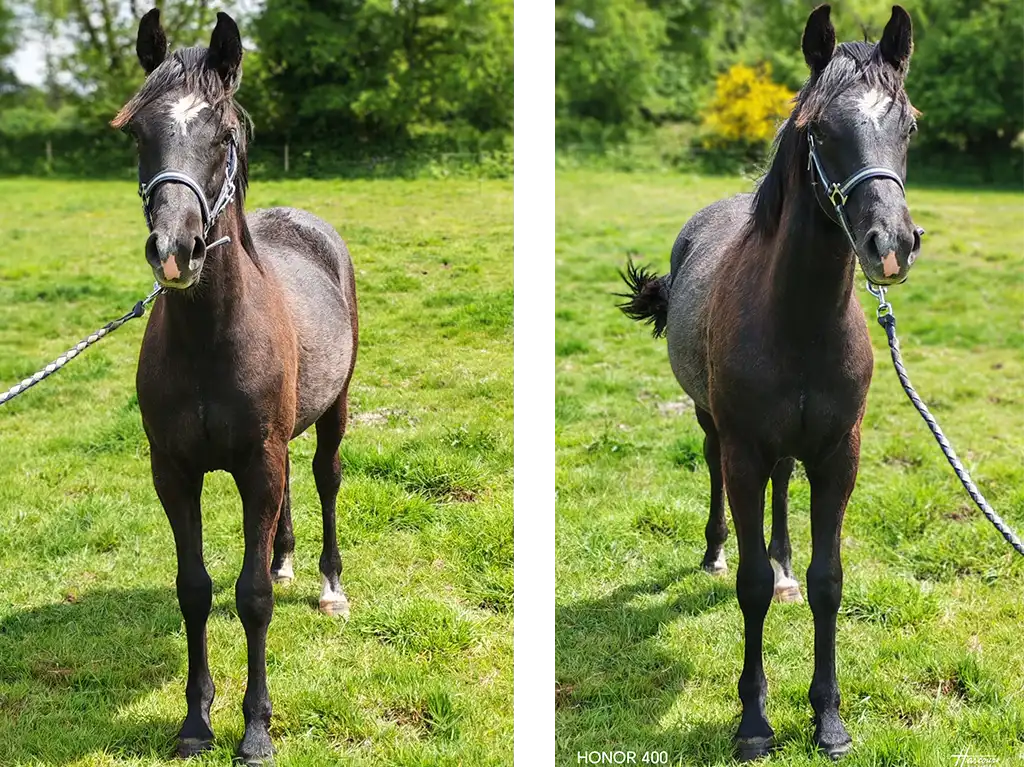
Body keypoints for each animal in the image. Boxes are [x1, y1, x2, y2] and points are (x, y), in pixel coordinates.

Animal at [112, 10, 358, 763]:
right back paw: (285, 560)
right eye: (138, 131)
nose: (176, 251)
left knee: (326, 477)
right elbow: (194, 588)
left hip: (333, 411)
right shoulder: (174, 470)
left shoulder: (259, 460)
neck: (211, 339)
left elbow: (250, 599)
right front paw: (197, 719)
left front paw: (255, 727)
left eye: (222, 134)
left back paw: (329, 584)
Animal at [618, 4, 921, 760]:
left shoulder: (840, 454)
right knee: (714, 474)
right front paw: (754, 721)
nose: (890, 245)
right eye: (820, 130)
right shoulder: (745, 449)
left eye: (908, 123)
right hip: (714, 428)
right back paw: (713, 550)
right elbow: (750, 585)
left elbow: (827, 580)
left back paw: (784, 562)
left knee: (786, 492)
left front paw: (829, 719)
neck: (800, 319)